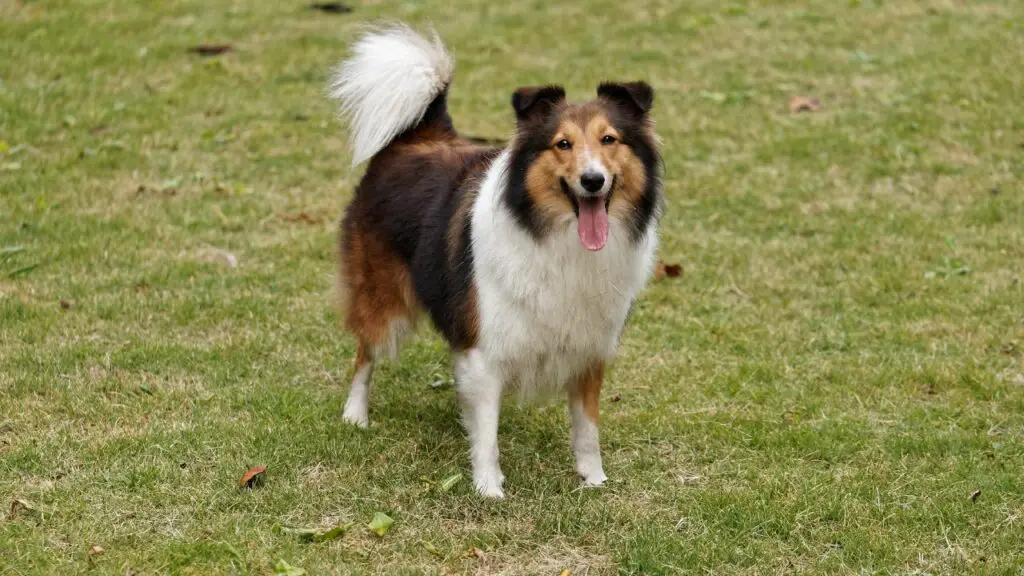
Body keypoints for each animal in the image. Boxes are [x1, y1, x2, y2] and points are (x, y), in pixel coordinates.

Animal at [329, 24, 663, 496]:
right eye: (562, 144)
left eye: (609, 140)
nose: (592, 181)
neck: (556, 237)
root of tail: (418, 134)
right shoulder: (484, 347)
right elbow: (487, 431)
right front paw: (489, 487)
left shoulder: (589, 347)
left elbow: (587, 428)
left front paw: (593, 478)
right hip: (380, 295)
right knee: (365, 354)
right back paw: (355, 414)